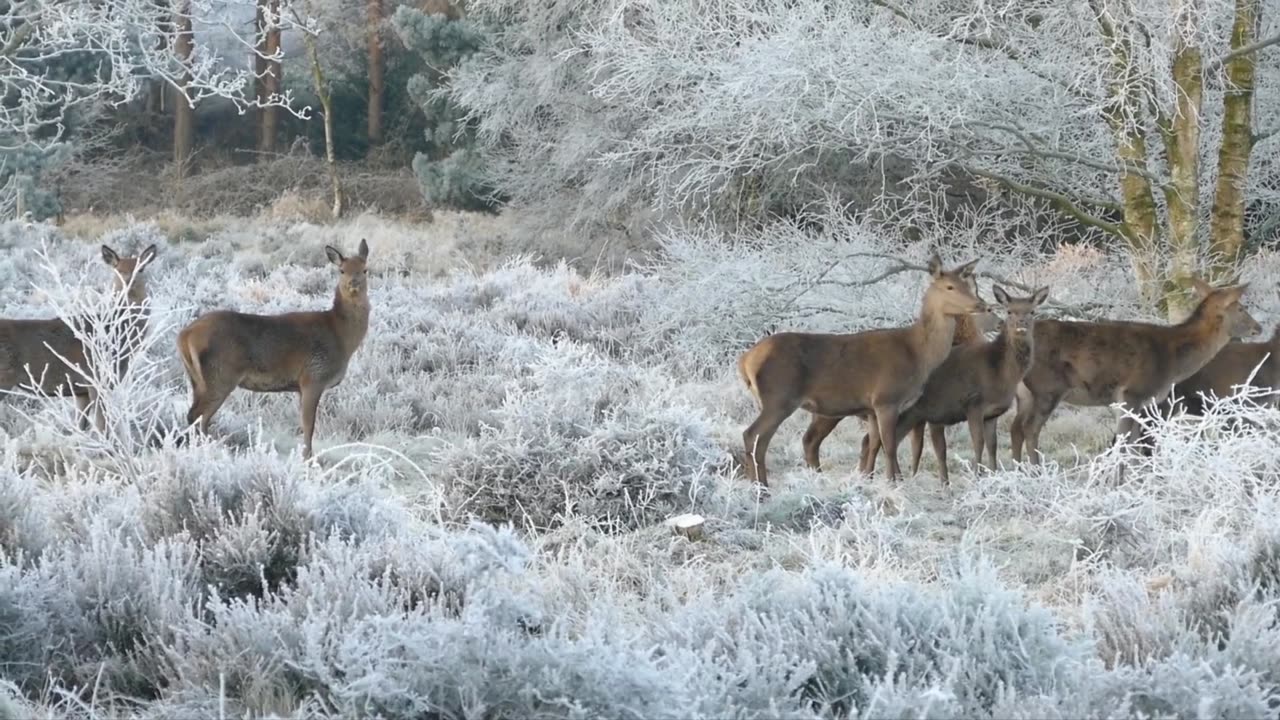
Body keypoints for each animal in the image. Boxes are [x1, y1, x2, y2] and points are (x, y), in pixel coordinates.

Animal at [0, 243, 160, 427]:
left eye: (141, 269)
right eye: (117, 269)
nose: (128, 281)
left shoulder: (81, 390)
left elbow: (81, 426)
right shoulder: (95, 379)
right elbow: (102, 427)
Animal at [172, 238, 371, 456]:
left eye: (365, 269)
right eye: (342, 270)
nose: (354, 284)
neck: (340, 336)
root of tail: (184, 335)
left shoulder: (300, 386)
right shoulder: (313, 377)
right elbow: (308, 426)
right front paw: (307, 458)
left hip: (197, 379)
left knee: (197, 416)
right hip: (219, 376)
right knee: (196, 416)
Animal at [737, 253, 983, 486]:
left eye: (967, 285)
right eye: (949, 287)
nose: (980, 305)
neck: (918, 355)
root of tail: (746, 360)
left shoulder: (872, 408)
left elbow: (873, 444)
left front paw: (868, 478)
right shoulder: (886, 399)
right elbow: (889, 446)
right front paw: (892, 483)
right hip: (779, 397)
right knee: (753, 436)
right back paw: (762, 489)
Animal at [860, 281, 1049, 481]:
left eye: (1032, 311)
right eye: (1009, 311)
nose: (1021, 324)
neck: (999, 371)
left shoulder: (992, 413)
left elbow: (992, 445)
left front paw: (993, 474)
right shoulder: (973, 404)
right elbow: (978, 442)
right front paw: (977, 476)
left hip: (907, 414)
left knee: (877, 441)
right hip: (899, 409)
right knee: (878, 441)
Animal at [1003, 278, 1264, 461]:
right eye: (1241, 308)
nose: (1258, 327)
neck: (1172, 360)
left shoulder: (1142, 402)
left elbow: (1134, 444)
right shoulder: (1132, 392)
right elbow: (1126, 444)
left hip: (1024, 392)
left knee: (1015, 427)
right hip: (1047, 386)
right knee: (1030, 428)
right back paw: (1036, 471)